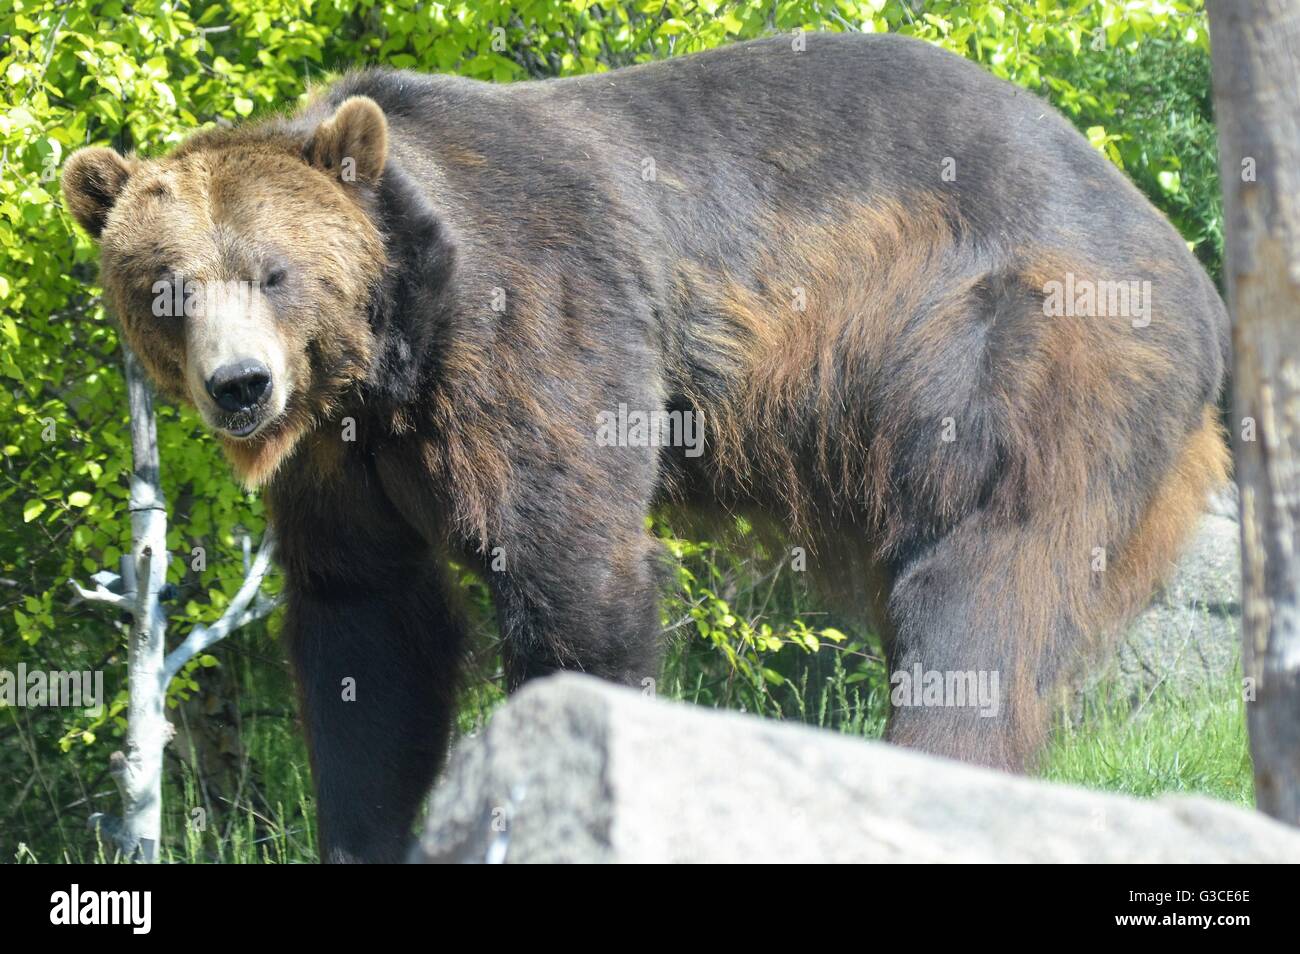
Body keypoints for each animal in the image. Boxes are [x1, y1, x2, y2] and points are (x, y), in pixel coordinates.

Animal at [61, 33, 1227, 863]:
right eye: (166, 290)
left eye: (273, 271)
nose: (241, 386)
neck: (397, 354)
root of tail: (1182, 258)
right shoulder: (342, 464)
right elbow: (367, 629)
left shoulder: (538, 322)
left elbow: (570, 569)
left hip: (1014, 345)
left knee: (979, 584)